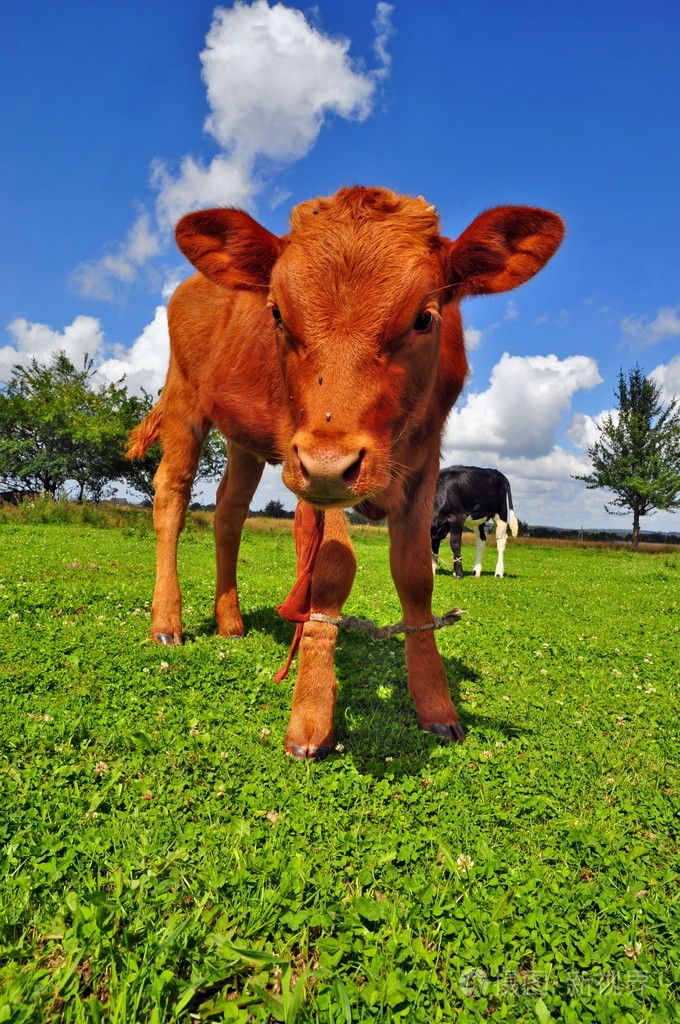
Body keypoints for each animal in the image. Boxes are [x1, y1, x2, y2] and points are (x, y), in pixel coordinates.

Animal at [127, 188, 561, 757]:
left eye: (425, 318)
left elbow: (416, 574)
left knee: (228, 513)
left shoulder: (424, 463)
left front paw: (436, 706)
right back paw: (166, 622)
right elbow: (332, 567)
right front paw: (310, 715)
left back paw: (231, 622)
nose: (331, 464)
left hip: (246, 441)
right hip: (185, 403)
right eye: (277, 314)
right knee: (172, 498)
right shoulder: (313, 469)